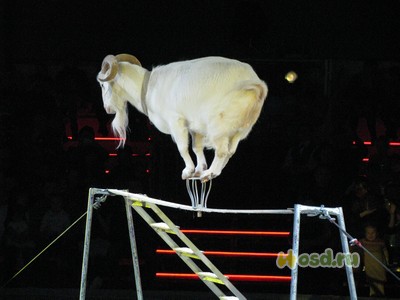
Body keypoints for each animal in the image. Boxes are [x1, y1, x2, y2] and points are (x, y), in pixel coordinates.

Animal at [96, 53, 268, 180]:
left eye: (103, 85)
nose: (107, 109)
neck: (147, 87)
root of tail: (255, 82)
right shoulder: (194, 126)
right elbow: (196, 147)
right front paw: (199, 169)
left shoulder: (176, 121)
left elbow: (182, 147)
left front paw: (188, 170)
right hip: (242, 128)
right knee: (231, 151)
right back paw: (213, 172)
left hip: (219, 125)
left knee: (222, 151)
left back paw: (210, 173)